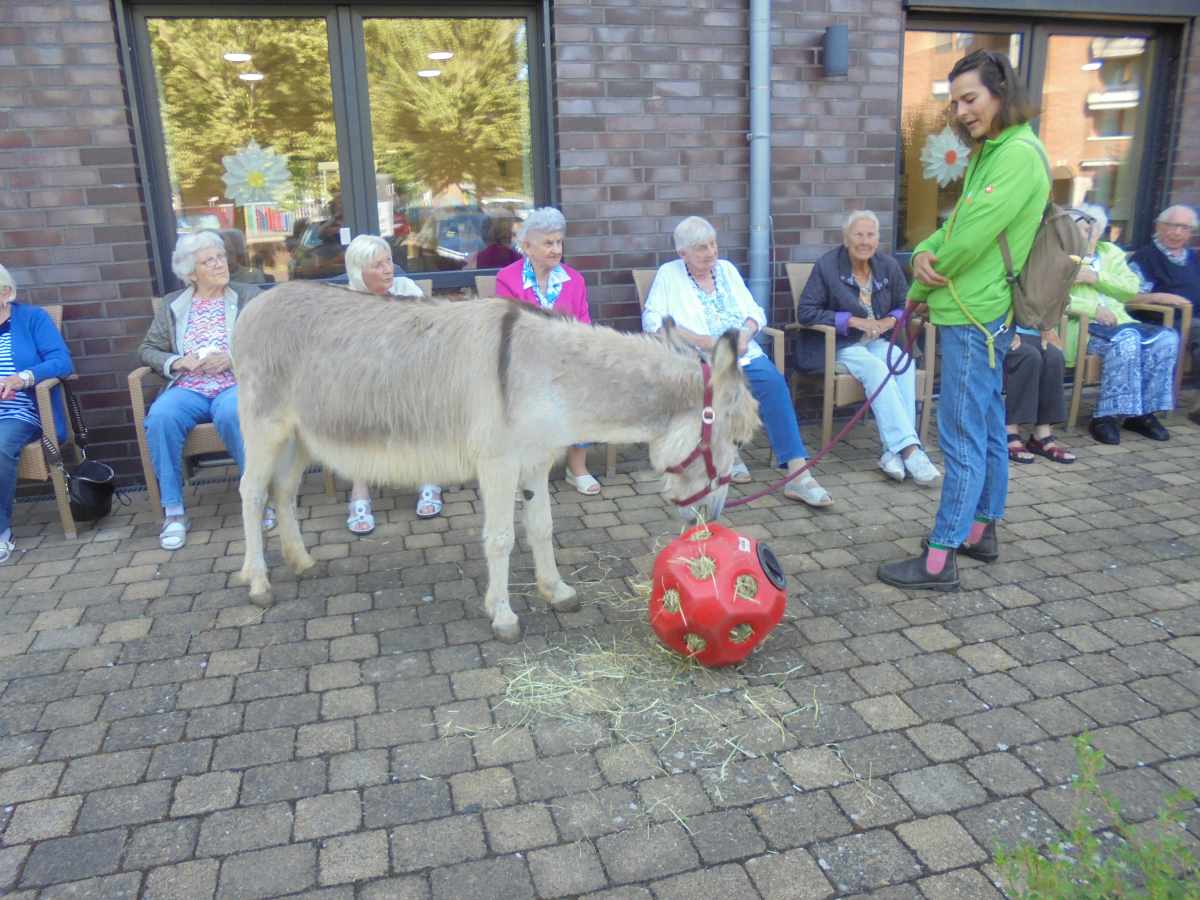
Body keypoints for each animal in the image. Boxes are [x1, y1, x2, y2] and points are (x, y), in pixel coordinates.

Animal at [231, 281, 759, 641]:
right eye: (735, 437)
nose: (711, 520)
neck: (551, 375)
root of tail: (256, 302)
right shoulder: (498, 464)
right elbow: (501, 539)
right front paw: (503, 615)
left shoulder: (536, 462)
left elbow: (542, 528)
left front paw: (556, 591)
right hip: (265, 427)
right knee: (252, 494)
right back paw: (258, 582)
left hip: (300, 436)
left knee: (283, 492)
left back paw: (301, 561)